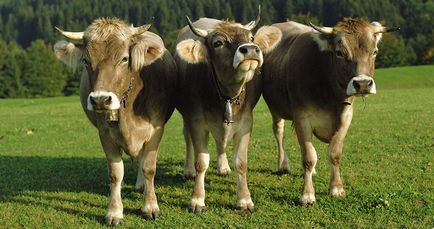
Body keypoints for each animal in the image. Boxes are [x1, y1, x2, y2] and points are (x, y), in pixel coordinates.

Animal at [53, 18, 178, 225]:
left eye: (125, 59)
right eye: (86, 60)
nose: (100, 100)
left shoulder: (156, 129)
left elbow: (149, 167)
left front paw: (150, 207)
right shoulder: (104, 133)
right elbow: (115, 173)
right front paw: (114, 212)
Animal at [173, 7, 282, 215]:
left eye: (251, 37)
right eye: (218, 43)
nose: (250, 50)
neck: (226, 95)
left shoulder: (246, 123)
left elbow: (241, 163)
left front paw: (245, 200)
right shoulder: (197, 121)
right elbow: (201, 162)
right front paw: (197, 199)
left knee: (221, 142)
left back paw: (223, 167)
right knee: (187, 138)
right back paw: (188, 170)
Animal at [262, 18, 400, 204]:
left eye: (375, 51)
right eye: (340, 52)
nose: (363, 84)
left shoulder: (346, 117)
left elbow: (334, 154)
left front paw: (336, 188)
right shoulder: (302, 118)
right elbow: (308, 157)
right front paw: (307, 195)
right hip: (276, 109)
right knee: (279, 133)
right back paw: (283, 165)